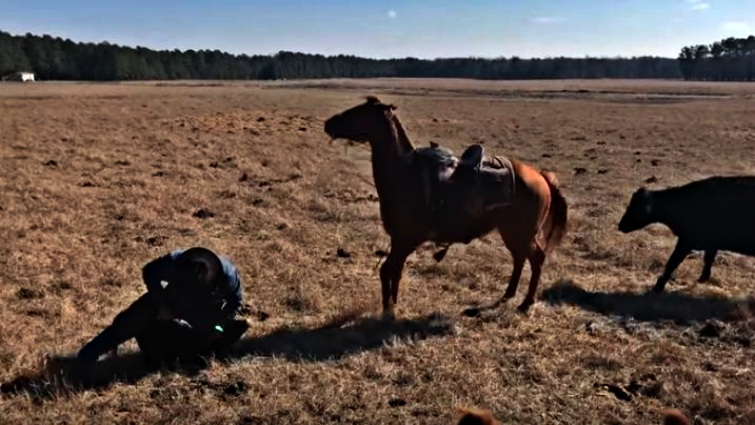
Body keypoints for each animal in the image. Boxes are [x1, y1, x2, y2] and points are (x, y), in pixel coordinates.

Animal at [323, 96, 568, 316]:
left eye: (359, 113)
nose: (329, 123)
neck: (405, 174)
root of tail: (541, 176)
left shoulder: (407, 239)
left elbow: (390, 270)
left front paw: (389, 310)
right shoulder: (399, 240)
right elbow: (392, 271)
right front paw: (390, 305)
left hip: (522, 234)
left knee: (536, 259)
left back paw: (526, 304)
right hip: (511, 233)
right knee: (519, 259)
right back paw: (508, 295)